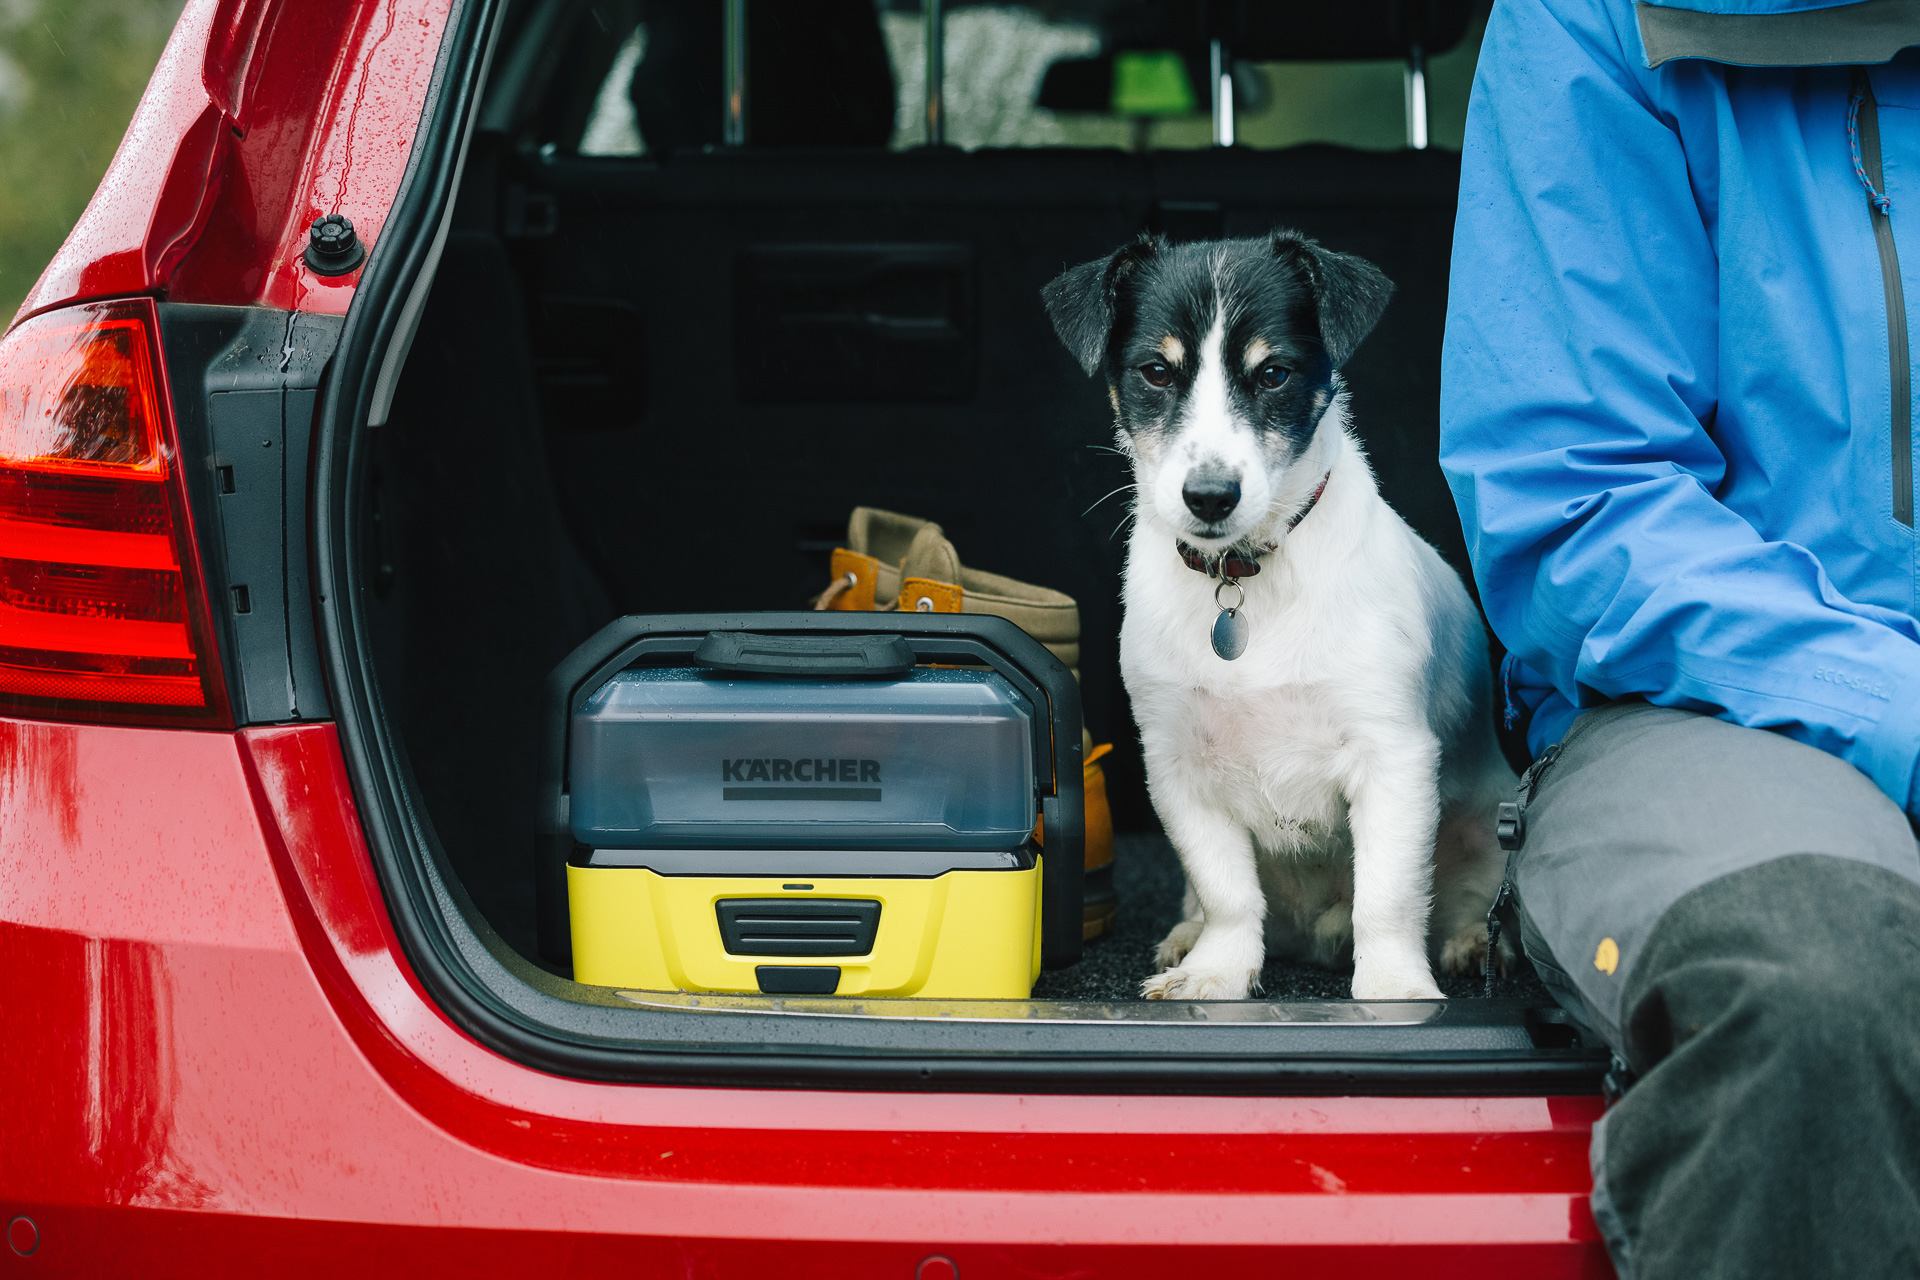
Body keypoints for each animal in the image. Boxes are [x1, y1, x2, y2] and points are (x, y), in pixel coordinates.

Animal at [1052, 235, 1512, 1005]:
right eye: (1156, 371)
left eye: (1273, 374)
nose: (1210, 496)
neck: (1245, 575)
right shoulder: (1177, 767)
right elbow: (1228, 890)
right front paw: (1216, 969)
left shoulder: (1392, 756)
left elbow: (1387, 894)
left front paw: (1393, 985)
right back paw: (1187, 937)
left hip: (1482, 827)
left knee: (1469, 892)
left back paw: (1474, 942)